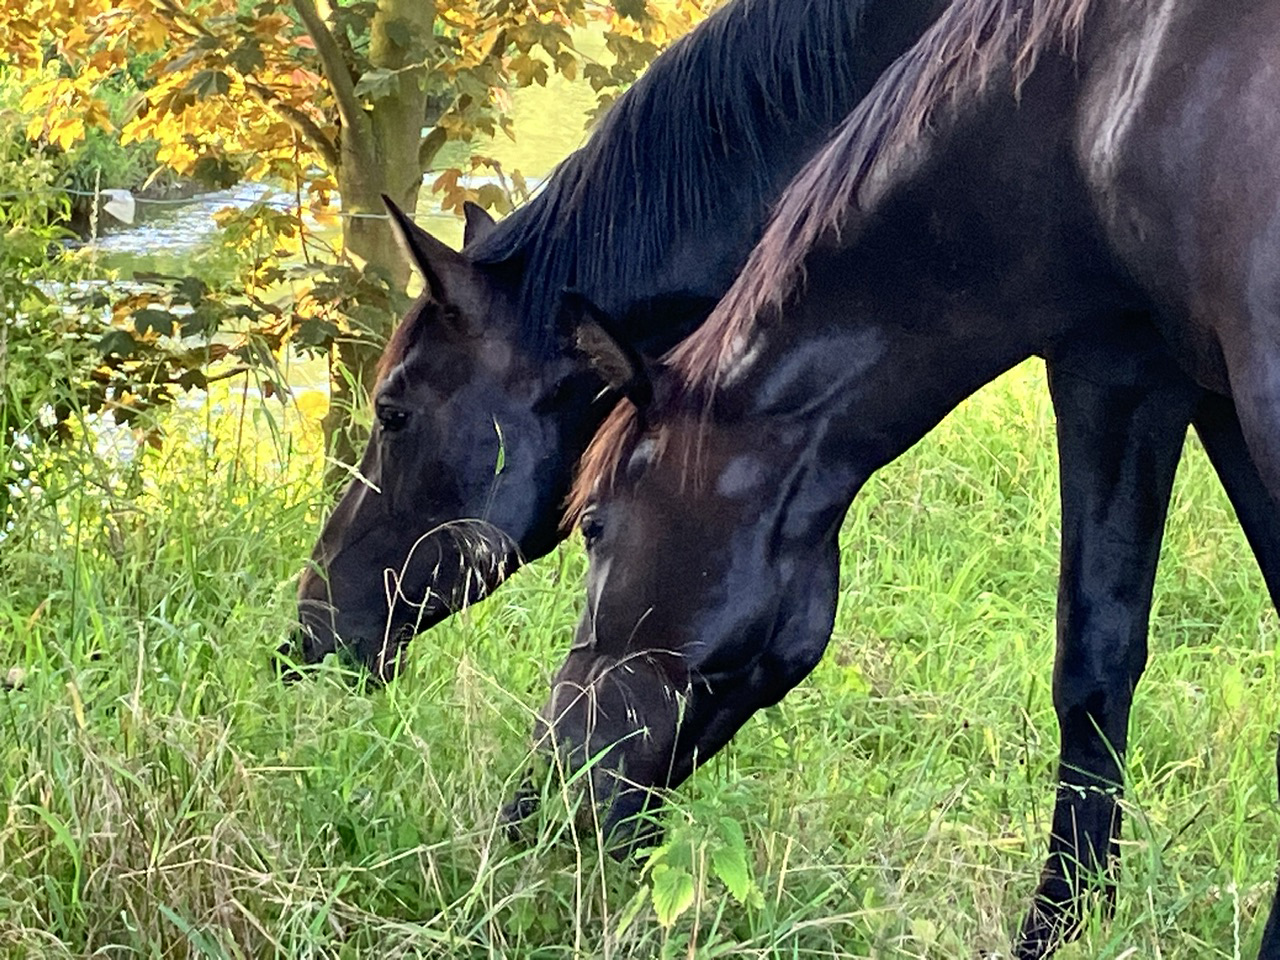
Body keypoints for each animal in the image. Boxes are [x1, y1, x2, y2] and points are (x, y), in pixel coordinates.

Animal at [535, 1, 1280, 957]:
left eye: (594, 524)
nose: (538, 805)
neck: (1095, 93)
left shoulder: (1120, 370)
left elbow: (1090, 668)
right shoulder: (1189, 374)